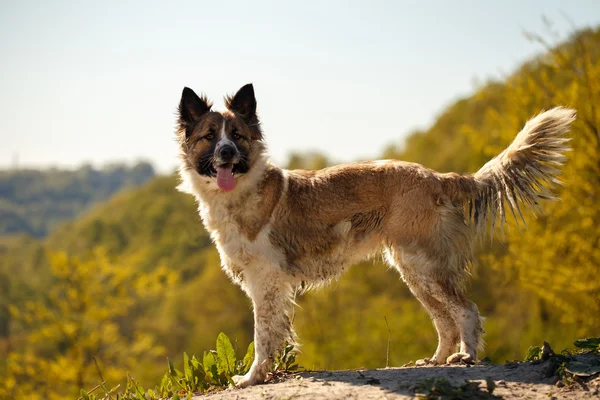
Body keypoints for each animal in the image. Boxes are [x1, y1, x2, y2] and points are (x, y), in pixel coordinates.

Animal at [175, 84, 576, 388]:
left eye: (237, 136)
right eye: (209, 136)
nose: (227, 153)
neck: (242, 191)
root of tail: (438, 177)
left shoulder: (266, 281)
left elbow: (262, 337)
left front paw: (252, 378)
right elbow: (274, 335)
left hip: (424, 265)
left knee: (466, 311)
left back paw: (467, 356)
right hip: (414, 270)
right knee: (444, 319)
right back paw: (436, 360)